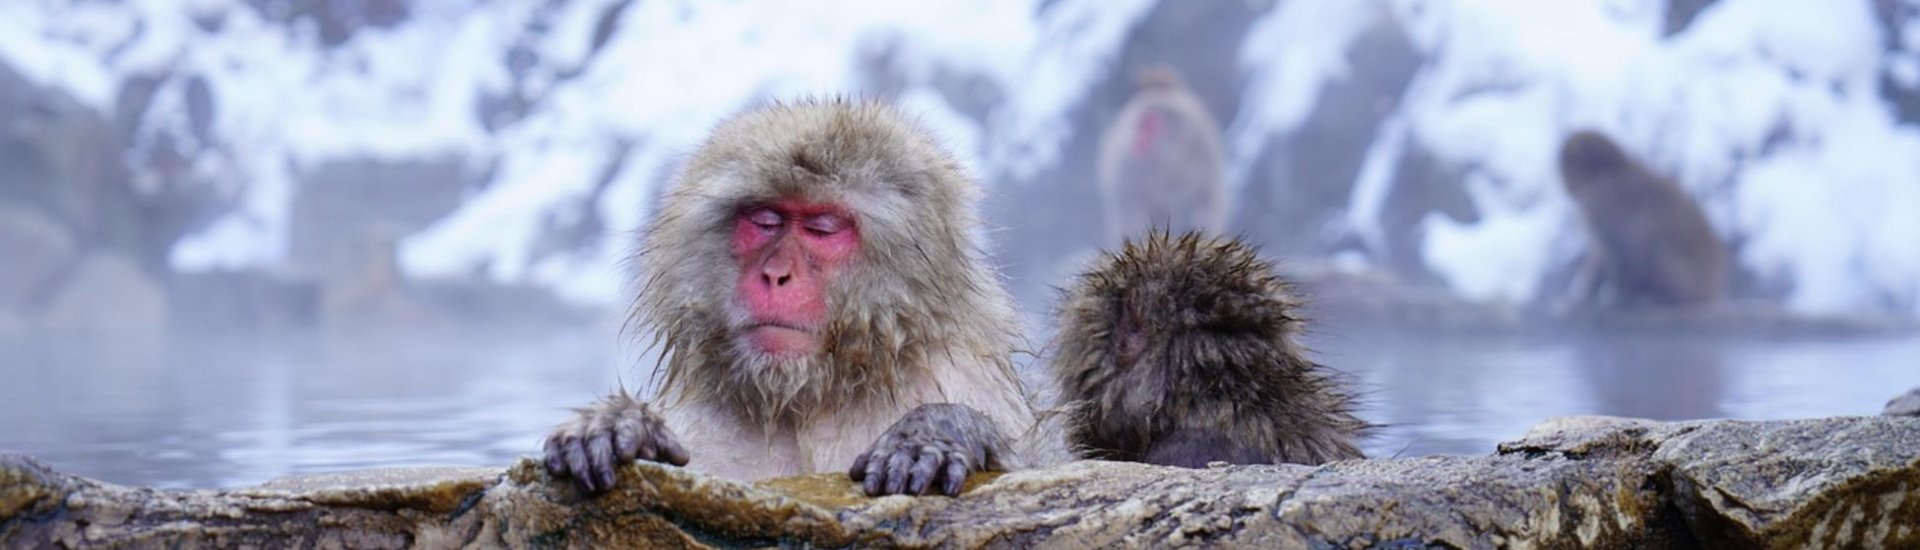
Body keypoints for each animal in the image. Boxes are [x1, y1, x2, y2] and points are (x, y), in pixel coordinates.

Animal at [542, 98, 1039, 498]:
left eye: (823, 226)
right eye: (765, 219)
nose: (776, 274)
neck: (810, 398)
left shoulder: (963, 377)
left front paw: (936, 432)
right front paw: (618, 425)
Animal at [1096, 66, 1229, 244]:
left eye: (1149, 122)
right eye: (1140, 123)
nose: (1136, 140)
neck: (1172, 157)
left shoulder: (1203, 153)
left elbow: (1207, 200)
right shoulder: (1131, 171)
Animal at [1558, 130, 1728, 308]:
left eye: (1565, 164)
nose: (1565, 183)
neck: (1610, 171)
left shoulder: (1599, 205)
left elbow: (1620, 248)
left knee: (1654, 246)